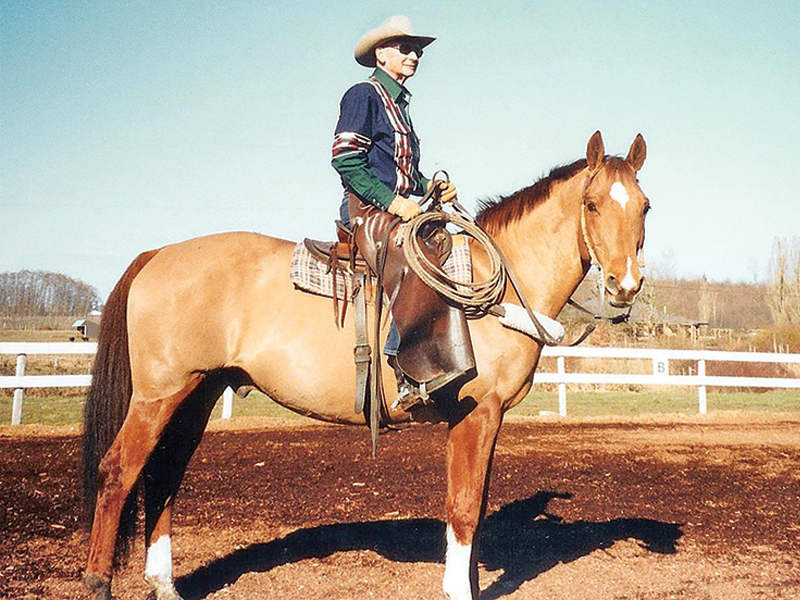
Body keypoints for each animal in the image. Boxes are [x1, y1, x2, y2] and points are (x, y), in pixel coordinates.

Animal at [82, 130, 649, 600]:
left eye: (645, 206)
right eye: (593, 204)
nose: (625, 284)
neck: (500, 280)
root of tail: (158, 253)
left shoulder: (482, 420)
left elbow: (473, 505)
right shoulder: (477, 413)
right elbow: (464, 507)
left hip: (197, 392)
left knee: (164, 474)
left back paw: (164, 584)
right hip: (157, 394)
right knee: (119, 471)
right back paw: (97, 582)